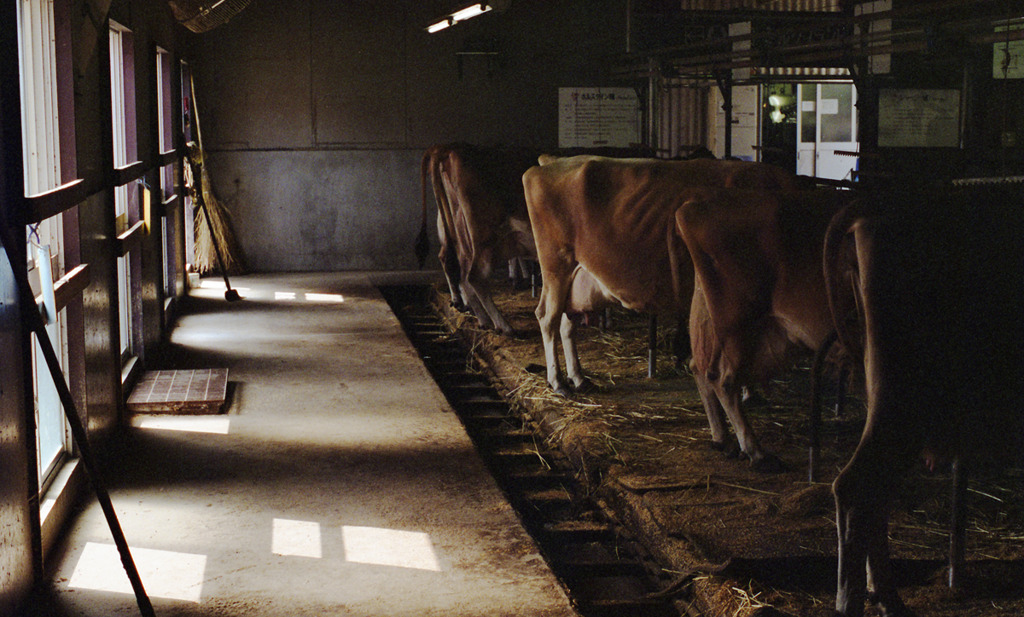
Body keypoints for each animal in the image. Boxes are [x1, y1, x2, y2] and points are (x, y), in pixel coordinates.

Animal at [417, 142, 539, 334]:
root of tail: (450, 149)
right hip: (484, 237)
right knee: (474, 275)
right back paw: (503, 325)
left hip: (460, 229)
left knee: (458, 266)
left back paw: (478, 315)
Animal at [523, 155, 798, 398]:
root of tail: (553, 162)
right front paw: (748, 393)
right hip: (556, 266)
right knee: (548, 317)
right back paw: (558, 381)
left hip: (575, 278)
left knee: (567, 322)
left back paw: (579, 378)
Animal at [676, 187, 850, 470]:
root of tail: (692, 206)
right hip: (738, 320)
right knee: (722, 378)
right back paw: (757, 452)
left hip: (707, 312)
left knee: (698, 365)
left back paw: (723, 440)